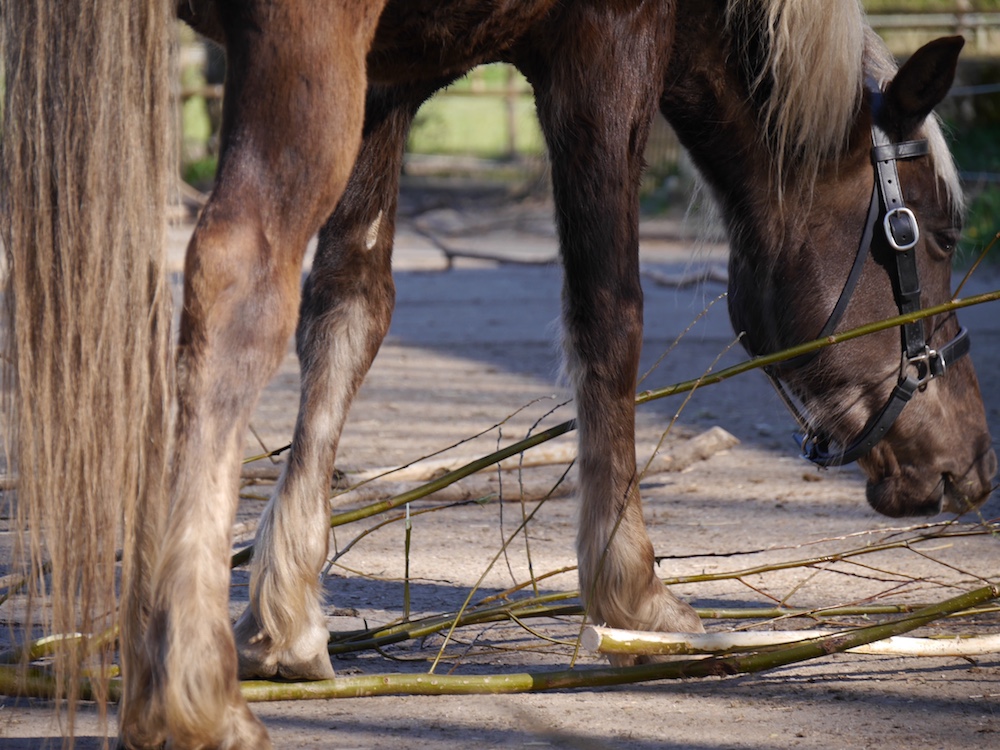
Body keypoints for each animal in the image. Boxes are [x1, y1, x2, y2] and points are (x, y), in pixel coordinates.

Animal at [1, 1, 992, 750]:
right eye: (936, 234)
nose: (974, 462)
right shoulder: (605, 51)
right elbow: (609, 310)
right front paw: (634, 592)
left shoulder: (390, 80)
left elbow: (349, 307)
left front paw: (285, 620)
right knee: (235, 272)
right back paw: (193, 696)